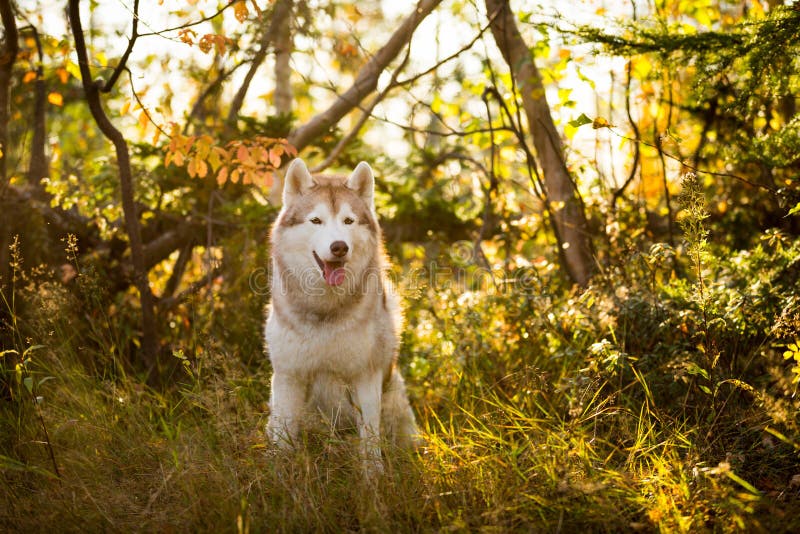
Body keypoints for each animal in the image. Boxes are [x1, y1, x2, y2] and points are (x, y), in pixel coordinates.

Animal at [266, 158, 418, 468]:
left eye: (348, 221)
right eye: (316, 220)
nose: (339, 247)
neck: (325, 311)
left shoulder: (366, 376)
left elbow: (370, 443)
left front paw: (374, 478)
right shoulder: (288, 376)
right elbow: (283, 441)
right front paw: (278, 475)